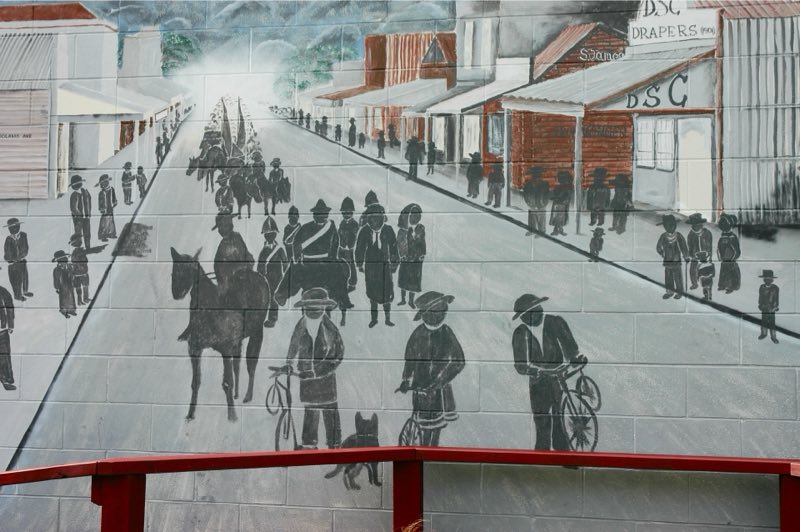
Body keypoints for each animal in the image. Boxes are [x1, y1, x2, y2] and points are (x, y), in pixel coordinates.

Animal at [170, 247, 270, 422]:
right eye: (174, 270)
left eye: (190, 269)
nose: (177, 293)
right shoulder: (195, 350)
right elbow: (195, 382)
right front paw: (190, 414)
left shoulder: (226, 350)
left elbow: (227, 382)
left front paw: (232, 416)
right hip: (239, 342)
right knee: (238, 365)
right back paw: (237, 395)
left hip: (256, 333)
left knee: (251, 365)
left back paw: (247, 396)